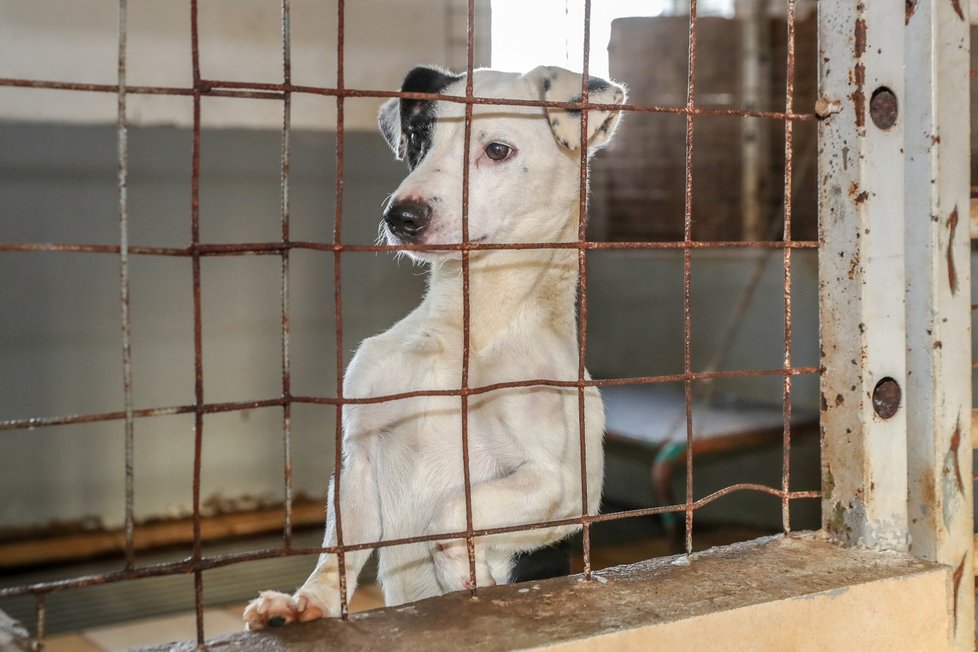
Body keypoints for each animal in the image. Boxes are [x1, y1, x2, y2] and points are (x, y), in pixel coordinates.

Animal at [244, 63, 624, 628]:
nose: (400, 216)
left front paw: (465, 571)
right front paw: (305, 603)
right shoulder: (358, 459)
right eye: (419, 139)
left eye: (497, 150)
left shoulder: (566, 487)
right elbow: (336, 557)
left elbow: (453, 512)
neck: (468, 330)